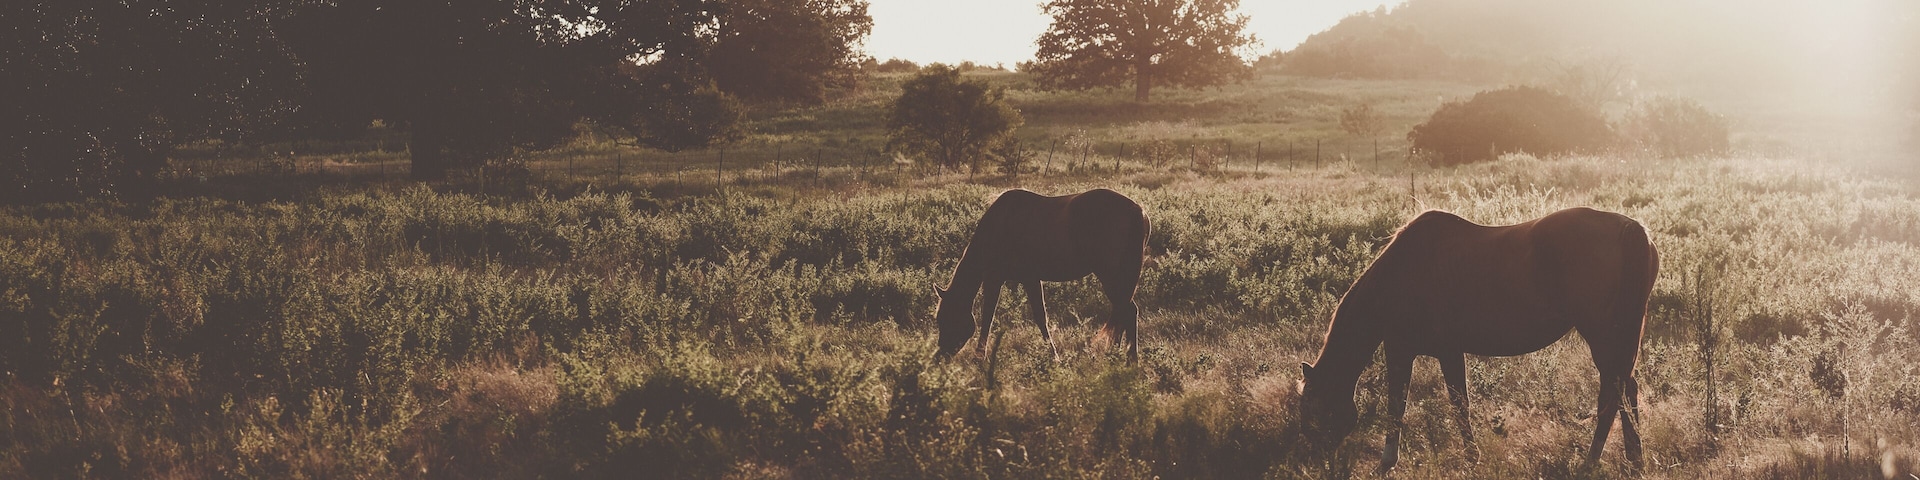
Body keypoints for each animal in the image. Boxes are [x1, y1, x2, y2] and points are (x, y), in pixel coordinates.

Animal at [933, 188, 1150, 361]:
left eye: (945, 318)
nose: (939, 357)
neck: (999, 225)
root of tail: (1137, 210)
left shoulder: (996, 278)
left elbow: (988, 317)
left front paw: (979, 358)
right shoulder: (1030, 279)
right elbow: (1040, 317)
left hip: (1111, 276)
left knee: (1127, 311)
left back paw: (1130, 360)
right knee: (1123, 312)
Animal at [1297, 207, 1658, 472]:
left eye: (1312, 409)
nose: (1312, 462)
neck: (1399, 275)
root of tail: (1633, 231)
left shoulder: (1406, 350)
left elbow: (1405, 404)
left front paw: (1389, 462)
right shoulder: (1445, 352)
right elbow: (1457, 403)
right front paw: (1473, 457)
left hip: (1603, 336)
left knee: (1612, 394)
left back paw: (1590, 463)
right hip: (1621, 337)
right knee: (1626, 389)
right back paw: (1635, 461)